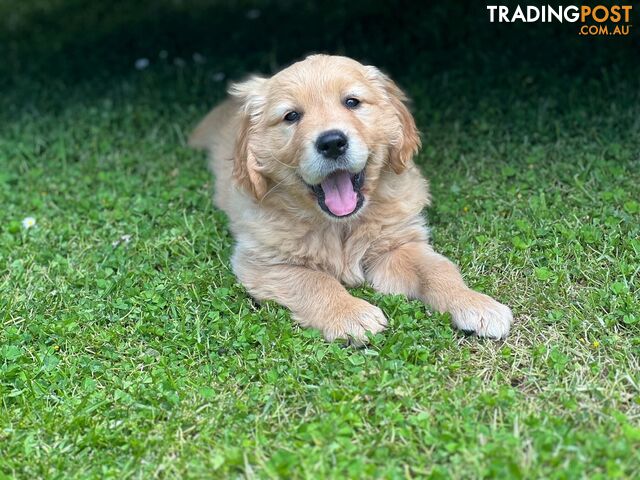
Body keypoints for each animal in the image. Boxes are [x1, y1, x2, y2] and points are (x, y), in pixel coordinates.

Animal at [188, 54, 512, 344]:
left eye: (352, 102)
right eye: (291, 116)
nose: (332, 143)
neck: (341, 225)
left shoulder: (397, 245)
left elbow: (437, 270)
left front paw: (475, 303)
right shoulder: (263, 263)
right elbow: (315, 282)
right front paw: (351, 314)